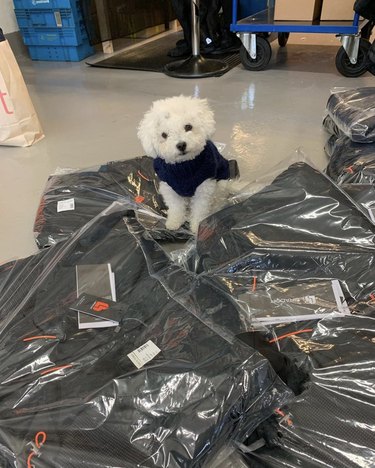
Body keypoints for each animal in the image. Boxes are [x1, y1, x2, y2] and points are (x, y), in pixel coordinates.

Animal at [137, 95, 232, 234]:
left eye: (188, 127)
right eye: (164, 135)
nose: (181, 145)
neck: (184, 166)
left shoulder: (203, 188)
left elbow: (200, 209)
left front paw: (198, 225)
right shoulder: (170, 188)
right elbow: (176, 207)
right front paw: (174, 222)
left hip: (221, 185)